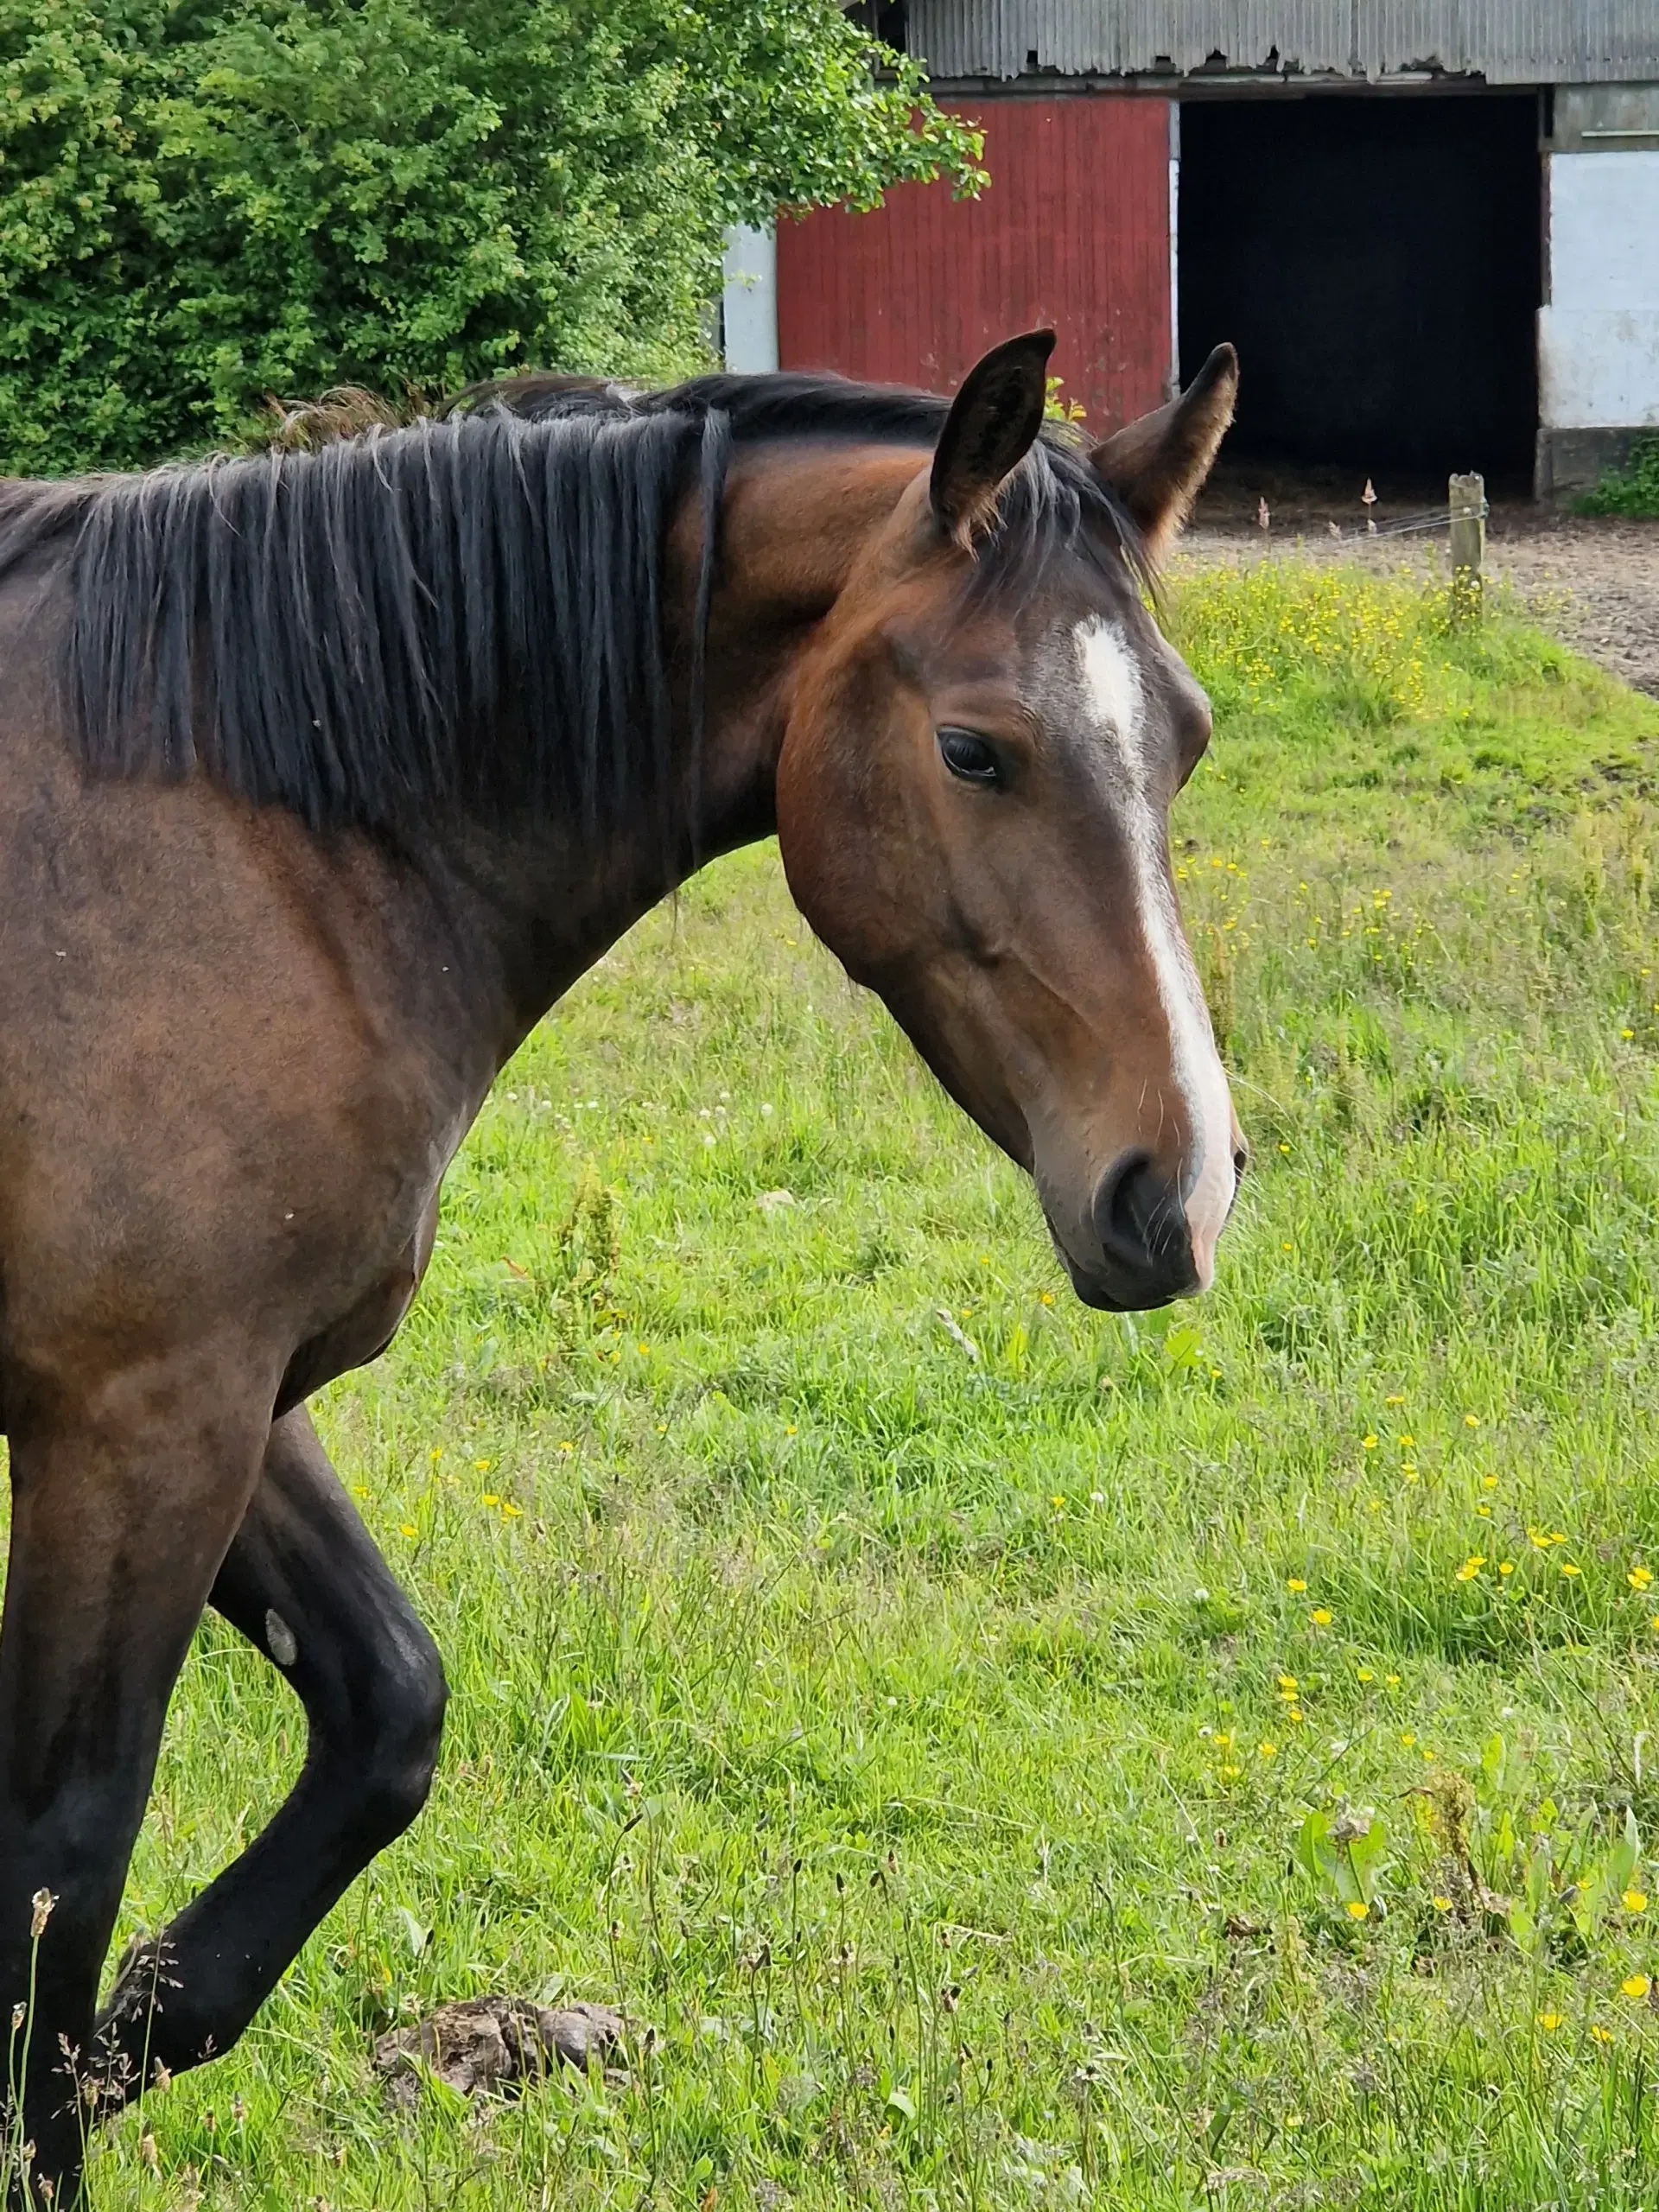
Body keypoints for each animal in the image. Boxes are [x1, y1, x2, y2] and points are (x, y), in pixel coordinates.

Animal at [0, 327, 1247, 2194]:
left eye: (1187, 739)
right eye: (975, 749)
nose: (1181, 1189)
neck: (247, 840)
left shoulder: (236, 1398)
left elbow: (387, 1716)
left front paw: (142, 2026)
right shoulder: (135, 1417)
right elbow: (61, 1859)